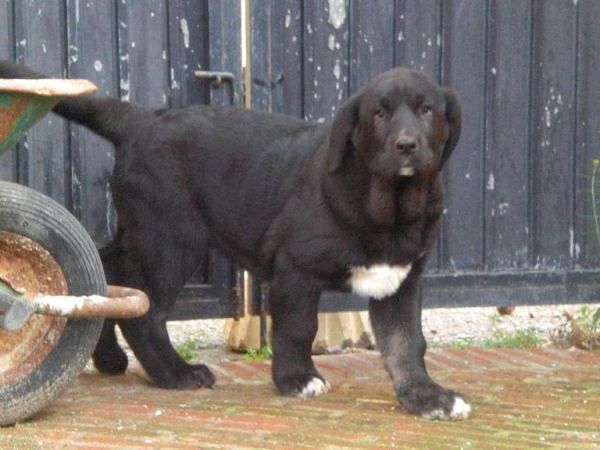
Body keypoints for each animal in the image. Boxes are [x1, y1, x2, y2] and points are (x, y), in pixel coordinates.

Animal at [0, 59, 468, 418]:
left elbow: (406, 345)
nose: (407, 145)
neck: (390, 208)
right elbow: (298, 329)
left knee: (109, 273)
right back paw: (177, 374)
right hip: (171, 240)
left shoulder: (401, 282)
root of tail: (142, 119)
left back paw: (109, 357)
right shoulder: (295, 271)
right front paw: (296, 380)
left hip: (143, 231)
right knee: (144, 313)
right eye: (379, 114)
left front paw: (427, 397)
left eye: (428, 110)